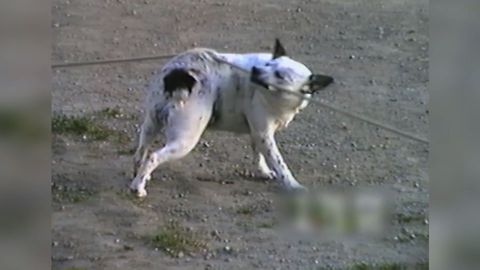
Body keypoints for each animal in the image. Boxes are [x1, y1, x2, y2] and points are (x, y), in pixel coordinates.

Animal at [129, 39, 336, 197]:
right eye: (268, 65)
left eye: (280, 75)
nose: (255, 70)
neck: (279, 98)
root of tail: (179, 75)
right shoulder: (265, 135)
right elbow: (279, 164)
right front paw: (293, 185)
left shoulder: (258, 133)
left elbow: (258, 155)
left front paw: (263, 171)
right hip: (185, 140)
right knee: (153, 157)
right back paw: (138, 187)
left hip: (151, 125)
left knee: (141, 153)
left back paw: (139, 177)